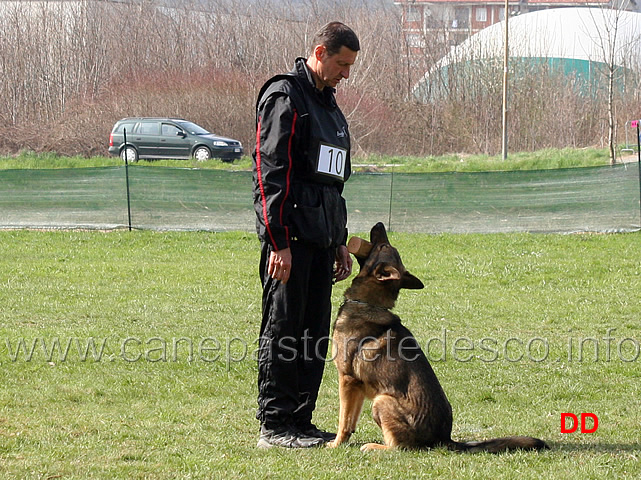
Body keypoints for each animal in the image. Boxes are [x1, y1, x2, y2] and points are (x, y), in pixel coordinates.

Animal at [328, 223, 548, 452]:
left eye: (382, 246)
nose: (379, 224)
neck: (369, 303)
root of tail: (444, 439)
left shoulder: (347, 380)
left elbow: (344, 420)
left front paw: (336, 444)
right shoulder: (358, 387)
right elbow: (351, 421)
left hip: (381, 401)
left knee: (400, 448)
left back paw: (375, 447)